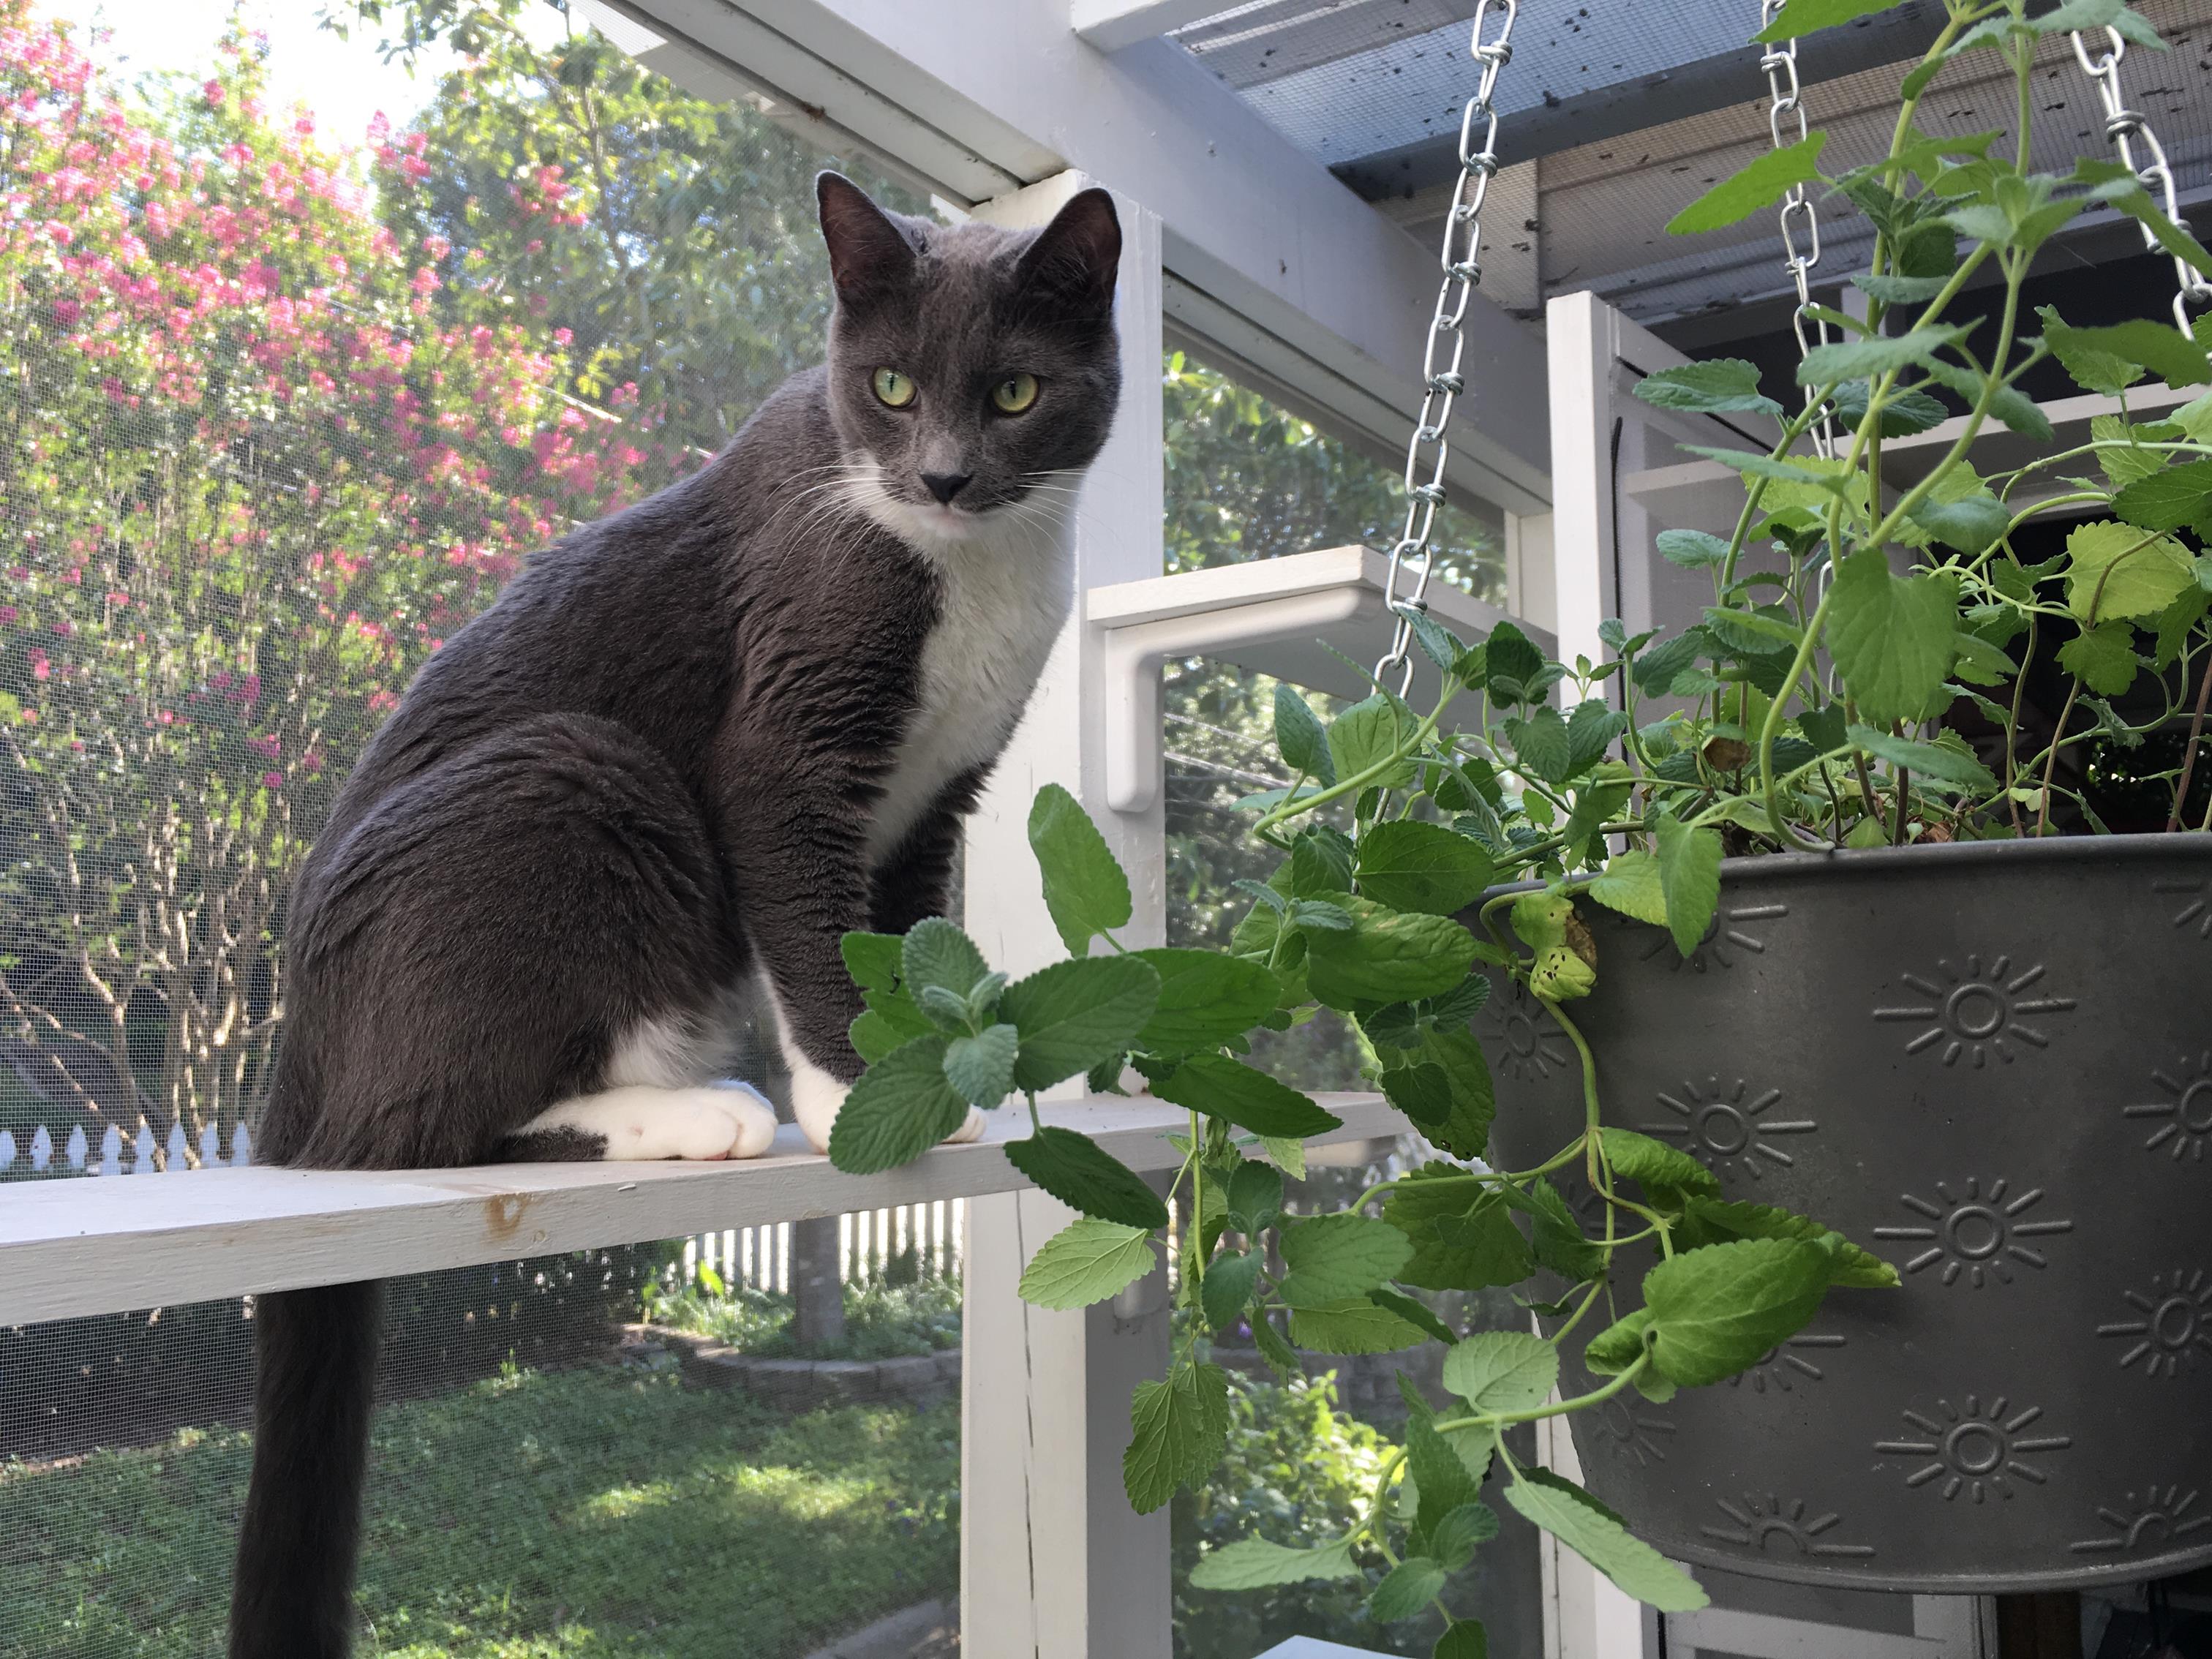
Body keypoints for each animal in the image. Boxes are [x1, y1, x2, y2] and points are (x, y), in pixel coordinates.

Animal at [228, 176, 1124, 1654]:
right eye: (890, 386)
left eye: (1013, 392)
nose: (940, 476)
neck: (968, 568)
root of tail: (293, 1056)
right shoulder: (783, 736)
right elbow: (809, 919)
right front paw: (852, 1095)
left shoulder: (940, 798)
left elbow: (890, 930)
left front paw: (918, 1073)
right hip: (580, 773)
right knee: (398, 1139)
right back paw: (695, 1112)